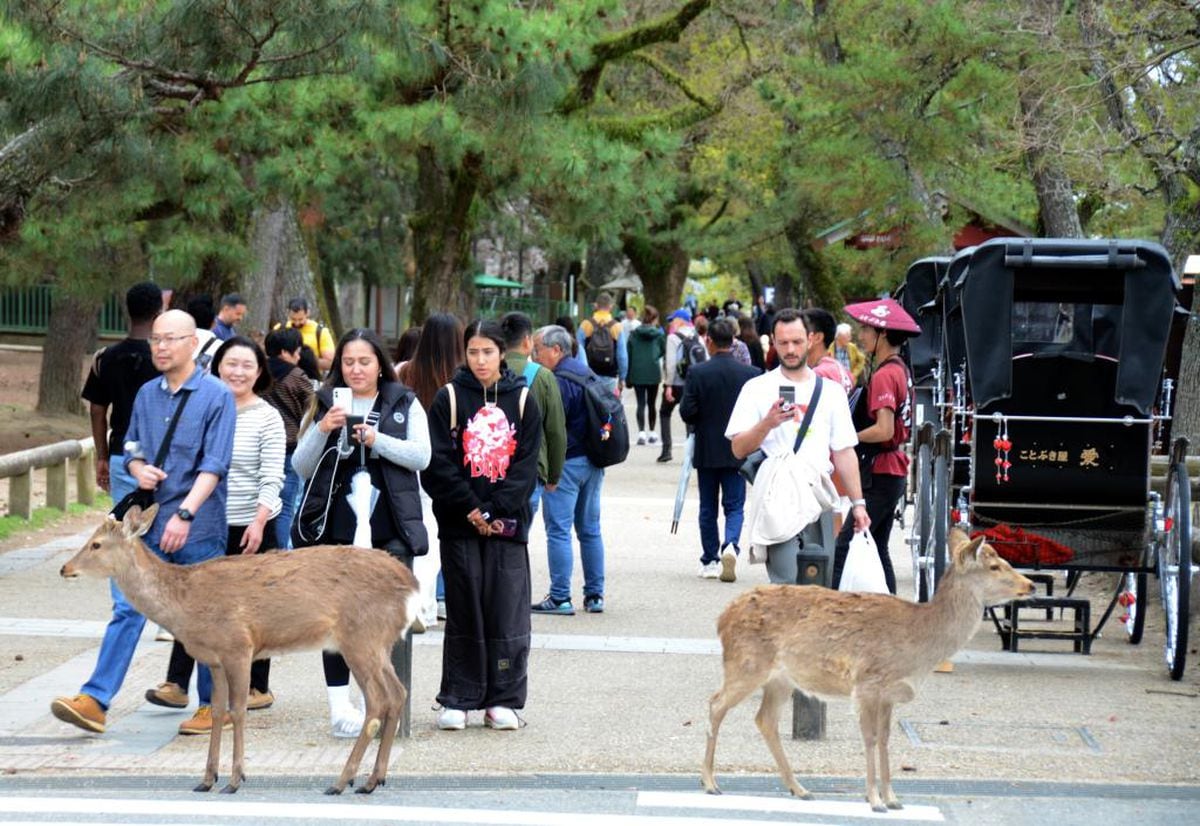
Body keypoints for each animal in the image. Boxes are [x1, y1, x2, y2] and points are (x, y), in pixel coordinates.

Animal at [59, 504, 422, 792]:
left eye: (96, 544)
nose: (65, 568)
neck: (185, 607)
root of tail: (412, 585)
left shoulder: (239, 645)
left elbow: (238, 710)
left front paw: (234, 780)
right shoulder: (214, 658)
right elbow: (219, 711)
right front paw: (207, 779)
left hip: (360, 637)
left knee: (378, 700)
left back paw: (342, 781)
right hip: (378, 642)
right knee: (398, 693)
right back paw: (373, 779)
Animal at [700, 528, 1036, 811]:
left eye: (1003, 561)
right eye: (994, 567)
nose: (1030, 584)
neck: (918, 648)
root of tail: (722, 618)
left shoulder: (889, 693)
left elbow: (885, 738)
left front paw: (893, 798)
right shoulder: (866, 684)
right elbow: (871, 738)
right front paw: (874, 800)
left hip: (780, 678)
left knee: (765, 719)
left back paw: (800, 789)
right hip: (746, 663)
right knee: (715, 703)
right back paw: (710, 783)